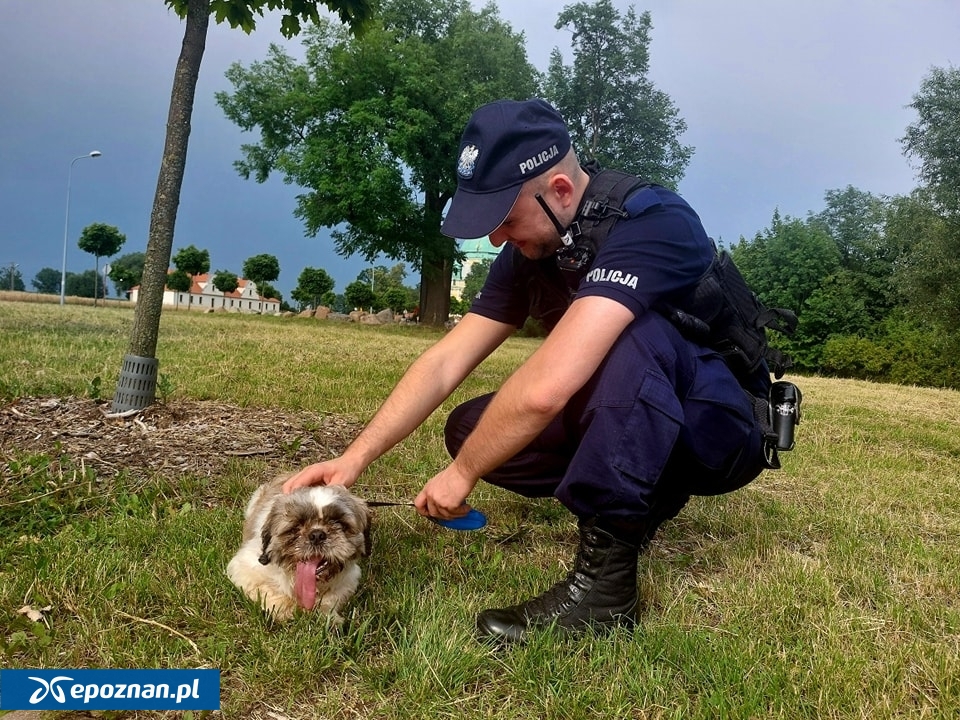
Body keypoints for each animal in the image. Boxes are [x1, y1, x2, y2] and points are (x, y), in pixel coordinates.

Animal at [228, 476, 372, 620]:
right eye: (296, 526)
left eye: (339, 523)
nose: (317, 535)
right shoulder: (245, 569)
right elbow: (271, 593)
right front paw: (291, 610)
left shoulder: (348, 580)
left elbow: (330, 599)